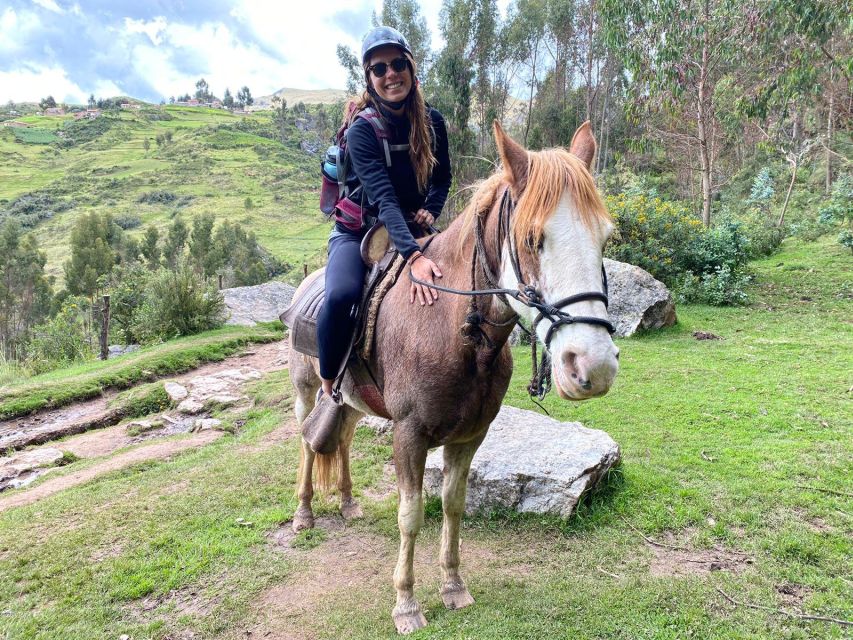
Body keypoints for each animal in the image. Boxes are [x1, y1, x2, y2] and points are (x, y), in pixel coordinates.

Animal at [288, 121, 620, 636]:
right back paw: (303, 513)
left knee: (339, 439)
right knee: (306, 442)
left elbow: (452, 505)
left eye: (604, 239)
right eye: (532, 238)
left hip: (350, 401)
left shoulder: (469, 436)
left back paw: (346, 502)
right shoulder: (409, 434)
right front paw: (406, 605)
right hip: (308, 391)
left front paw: (453, 585)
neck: (454, 331)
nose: (594, 365)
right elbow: (410, 515)